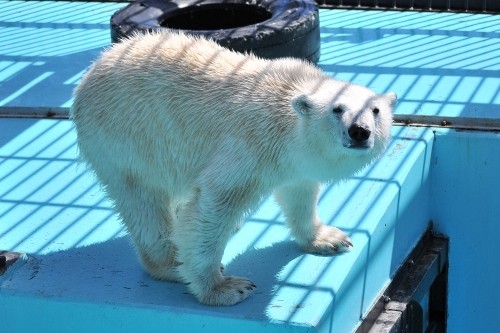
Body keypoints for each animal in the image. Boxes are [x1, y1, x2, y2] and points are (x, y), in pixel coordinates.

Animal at [72, 29, 396, 304]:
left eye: (375, 110)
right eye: (337, 109)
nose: (359, 131)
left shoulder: (296, 163)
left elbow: (299, 195)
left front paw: (328, 239)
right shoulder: (249, 145)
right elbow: (214, 206)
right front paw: (223, 287)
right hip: (127, 140)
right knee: (144, 204)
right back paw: (171, 264)